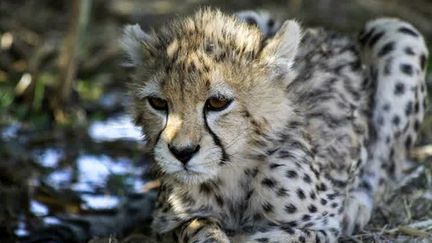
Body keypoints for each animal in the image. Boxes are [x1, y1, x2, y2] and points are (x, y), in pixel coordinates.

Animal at [121, 8, 428, 242]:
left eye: (217, 102)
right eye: (158, 103)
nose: (181, 153)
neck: (231, 172)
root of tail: (327, 32)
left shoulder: (322, 223)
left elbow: (273, 237)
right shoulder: (165, 223)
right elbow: (196, 226)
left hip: (399, 33)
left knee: (383, 170)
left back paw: (357, 205)